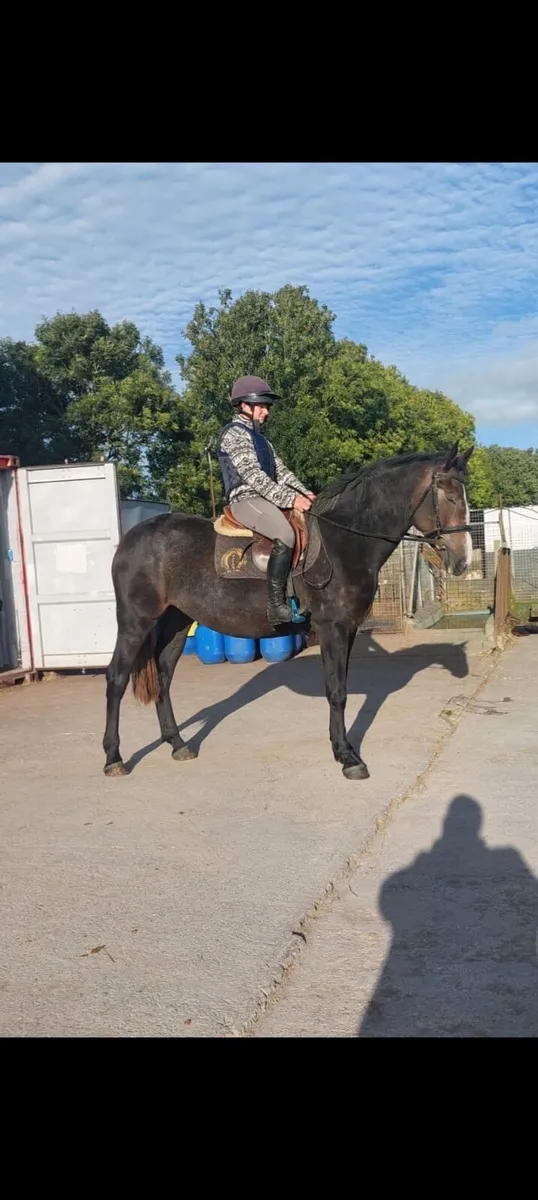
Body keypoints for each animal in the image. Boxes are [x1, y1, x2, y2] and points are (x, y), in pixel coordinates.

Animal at [102, 441, 474, 781]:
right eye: (449, 496)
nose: (462, 561)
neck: (344, 543)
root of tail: (132, 538)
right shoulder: (332, 628)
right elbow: (336, 691)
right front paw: (347, 757)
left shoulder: (349, 629)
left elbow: (340, 687)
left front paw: (342, 749)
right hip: (135, 622)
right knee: (116, 677)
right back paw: (114, 757)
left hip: (177, 622)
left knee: (164, 676)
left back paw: (178, 744)